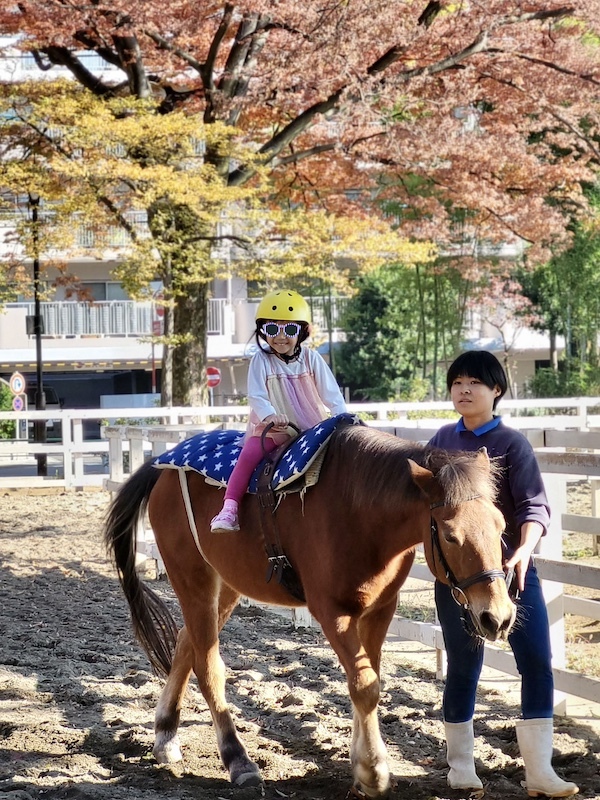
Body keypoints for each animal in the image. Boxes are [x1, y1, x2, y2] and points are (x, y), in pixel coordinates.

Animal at [103, 422, 516, 796]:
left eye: (500, 525)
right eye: (450, 534)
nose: (497, 616)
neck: (359, 508)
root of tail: (163, 466)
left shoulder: (380, 610)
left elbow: (368, 680)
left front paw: (361, 763)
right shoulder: (332, 612)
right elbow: (364, 685)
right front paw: (373, 771)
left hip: (227, 585)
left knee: (186, 642)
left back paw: (165, 736)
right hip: (193, 579)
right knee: (207, 666)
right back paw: (238, 760)